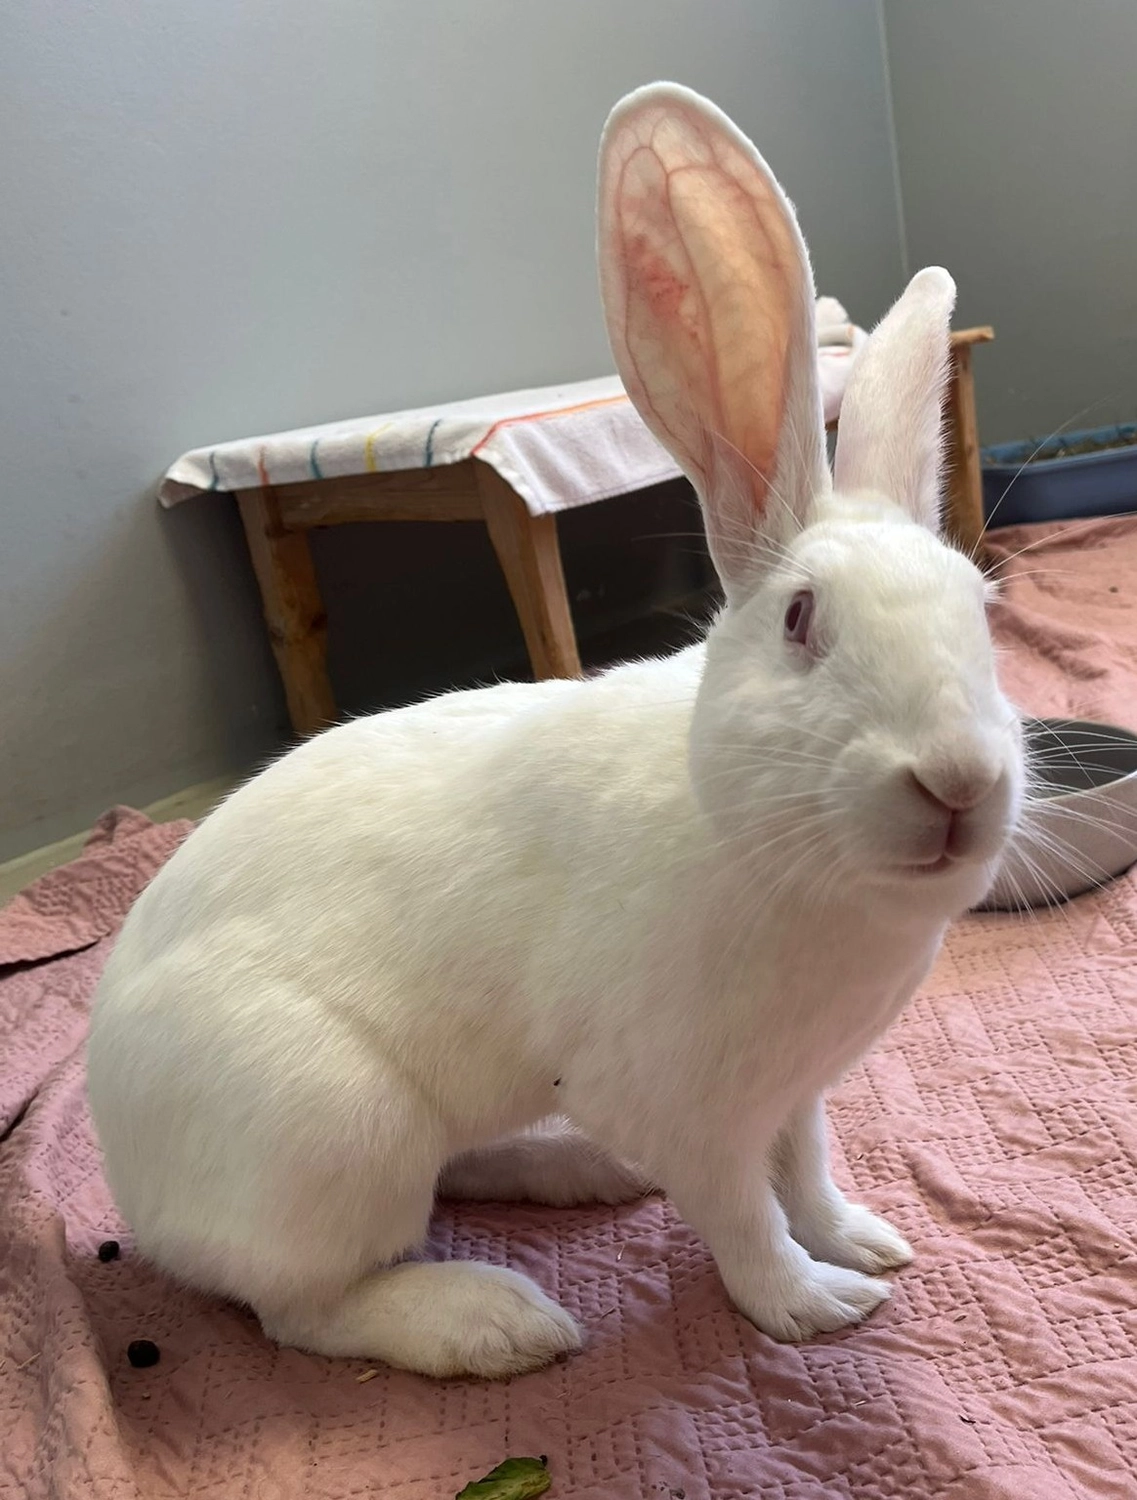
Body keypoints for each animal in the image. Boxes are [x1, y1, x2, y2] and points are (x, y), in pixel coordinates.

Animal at [86, 82, 1025, 1381]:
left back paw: (578, 1171)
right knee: (305, 1306)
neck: (752, 838)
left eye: (982, 608)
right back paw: (495, 1321)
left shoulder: (792, 1092)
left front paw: (865, 1241)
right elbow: (744, 1217)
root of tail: (123, 1162)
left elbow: (809, 1170)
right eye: (800, 620)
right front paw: (813, 1305)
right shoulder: (691, 1107)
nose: (959, 783)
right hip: (331, 1126)